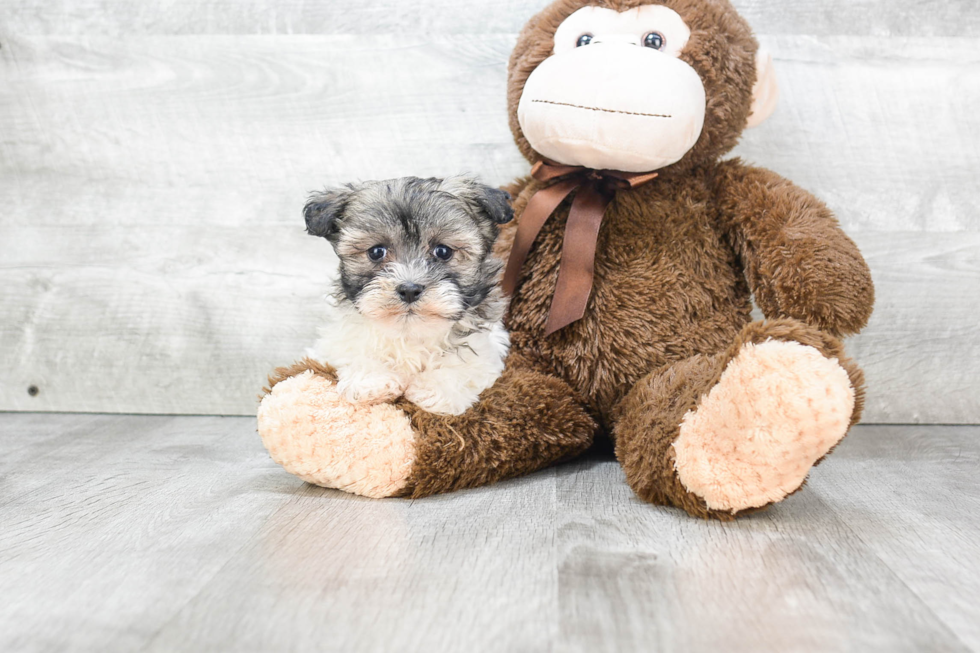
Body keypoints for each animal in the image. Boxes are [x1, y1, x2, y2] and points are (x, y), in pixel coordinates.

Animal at [304, 176, 512, 416]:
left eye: (443, 251)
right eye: (376, 252)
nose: (409, 289)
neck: (409, 331)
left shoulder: (489, 344)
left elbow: (468, 360)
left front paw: (435, 389)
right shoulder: (332, 343)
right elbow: (351, 348)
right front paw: (371, 380)